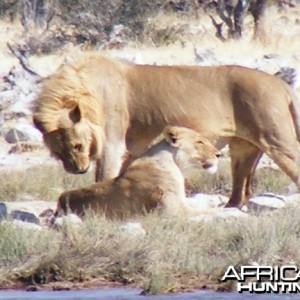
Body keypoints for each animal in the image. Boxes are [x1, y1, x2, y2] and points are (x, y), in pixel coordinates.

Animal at [34, 53, 300, 209]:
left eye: (77, 145)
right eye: (57, 152)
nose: (76, 170)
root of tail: (281, 84)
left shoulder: (112, 144)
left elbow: (103, 177)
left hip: (277, 141)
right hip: (244, 148)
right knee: (241, 188)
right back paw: (228, 208)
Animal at [56, 125, 220, 219]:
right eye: (199, 142)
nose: (219, 154)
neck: (175, 164)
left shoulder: (181, 201)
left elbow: (200, 204)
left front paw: (216, 201)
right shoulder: (172, 211)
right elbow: (207, 212)